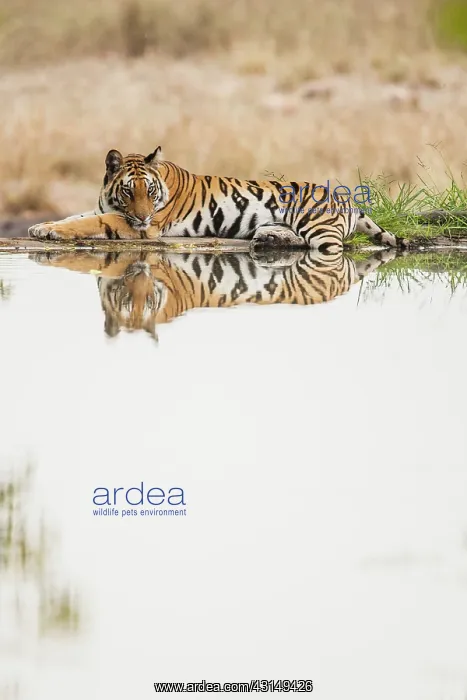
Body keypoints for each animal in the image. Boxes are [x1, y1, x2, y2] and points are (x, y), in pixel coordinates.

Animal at [28, 147, 408, 251]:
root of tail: (349, 201)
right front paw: (41, 227)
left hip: (318, 227)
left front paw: (52, 232)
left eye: (149, 192)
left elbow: (92, 222)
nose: (144, 215)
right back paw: (270, 238)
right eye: (128, 191)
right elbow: (76, 216)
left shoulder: (141, 227)